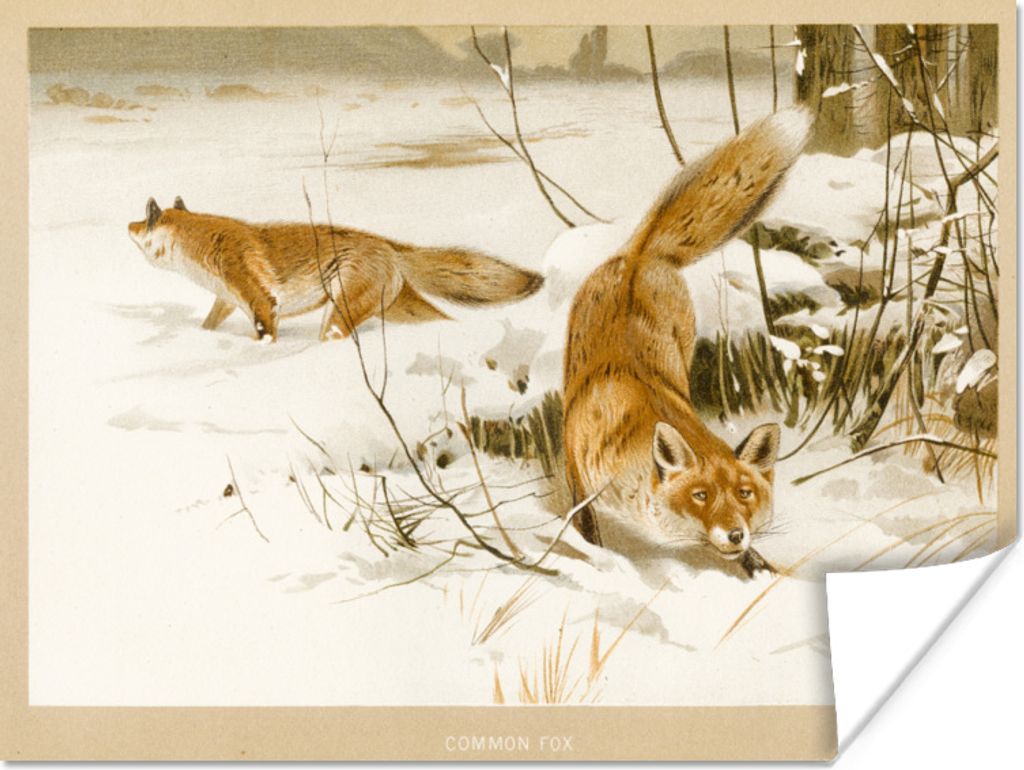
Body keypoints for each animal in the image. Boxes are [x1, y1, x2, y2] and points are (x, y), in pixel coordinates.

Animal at [127, 197, 543, 341]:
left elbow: (264, 336)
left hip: (340, 314)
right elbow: (208, 325)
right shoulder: (228, 300)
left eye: (144, 219)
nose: (127, 225)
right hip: (401, 310)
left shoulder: (262, 303)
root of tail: (388, 244)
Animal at [562, 108, 812, 577]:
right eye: (701, 496)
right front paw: (595, 555)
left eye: (744, 494)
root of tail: (640, 255)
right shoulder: (577, 464)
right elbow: (584, 523)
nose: (735, 534)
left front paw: (761, 569)